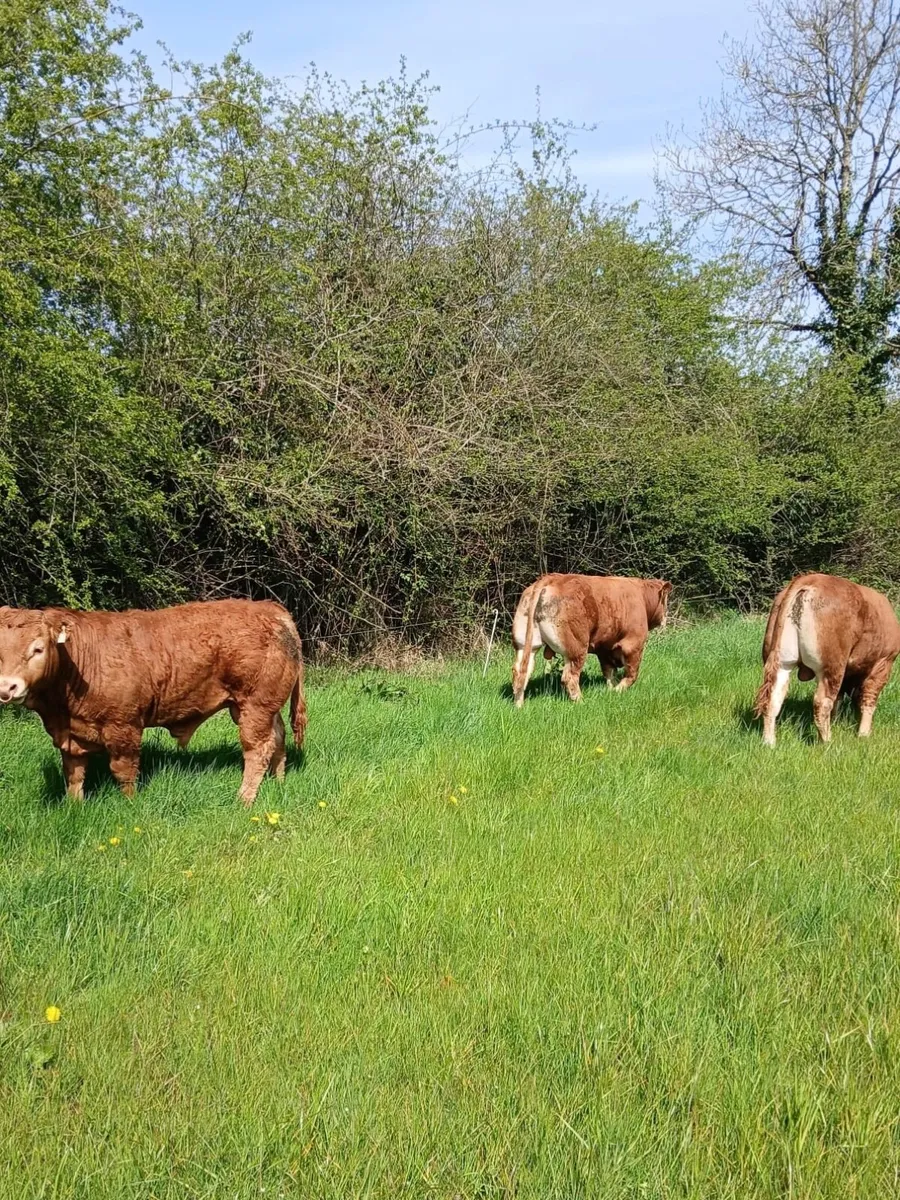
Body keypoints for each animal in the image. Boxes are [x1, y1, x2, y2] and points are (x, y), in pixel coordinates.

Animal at [0, 599, 307, 805]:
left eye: (38, 648)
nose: (7, 687)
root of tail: (273, 610)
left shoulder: (123, 727)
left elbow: (124, 770)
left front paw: (129, 803)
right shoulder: (71, 734)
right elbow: (74, 773)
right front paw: (74, 806)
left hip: (255, 705)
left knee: (258, 748)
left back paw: (244, 798)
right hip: (265, 707)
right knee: (278, 738)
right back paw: (278, 780)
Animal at [511, 574, 672, 708]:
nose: (665, 615)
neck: (642, 597)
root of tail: (550, 578)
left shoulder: (605, 648)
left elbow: (609, 672)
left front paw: (611, 690)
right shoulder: (634, 644)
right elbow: (632, 674)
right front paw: (618, 690)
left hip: (525, 644)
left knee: (520, 672)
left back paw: (519, 705)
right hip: (577, 648)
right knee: (569, 677)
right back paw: (581, 702)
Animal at [754, 572, 900, 746]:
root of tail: (809, 579)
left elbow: (839, 698)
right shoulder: (884, 662)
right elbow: (868, 698)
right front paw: (864, 734)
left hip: (781, 660)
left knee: (773, 698)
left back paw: (769, 742)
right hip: (832, 664)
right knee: (822, 702)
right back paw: (827, 742)